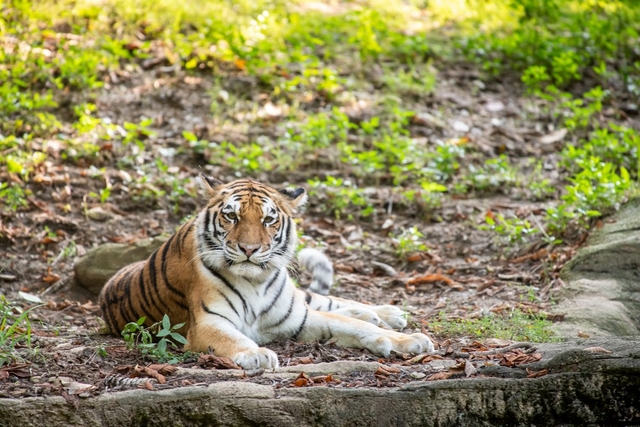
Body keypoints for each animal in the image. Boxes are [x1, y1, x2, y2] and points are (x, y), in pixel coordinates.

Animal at [99, 176, 436, 370]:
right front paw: (257, 355)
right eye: (231, 216)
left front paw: (409, 340)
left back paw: (387, 313)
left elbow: (353, 326)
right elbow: (233, 339)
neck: (255, 281)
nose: (249, 249)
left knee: (326, 300)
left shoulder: (297, 316)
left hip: (299, 299)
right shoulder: (208, 324)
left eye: (268, 220)